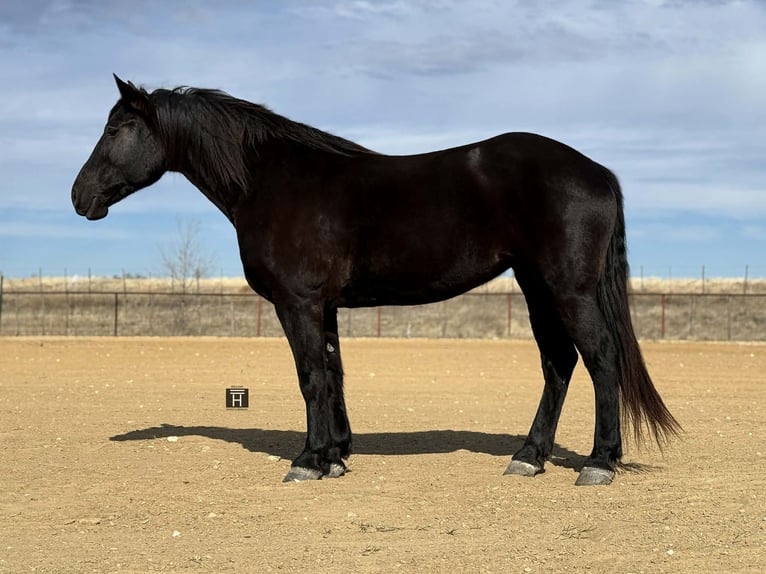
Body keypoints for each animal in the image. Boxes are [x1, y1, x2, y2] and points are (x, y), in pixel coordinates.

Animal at [72, 75, 680, 486]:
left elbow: (310, 378)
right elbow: (333, 375)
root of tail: (595, 172)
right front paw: (335, 455)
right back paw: (528, 458)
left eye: (117, 128)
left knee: (600, 357)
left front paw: (307, 462)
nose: (80, 196)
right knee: (559, 364)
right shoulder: (324, 306)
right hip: (537, 288)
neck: (274, 182)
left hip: (566, 288)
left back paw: (599, 463)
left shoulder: (297, 303)